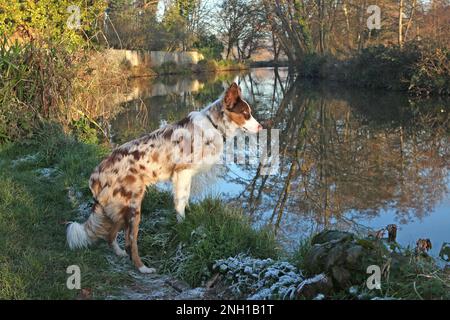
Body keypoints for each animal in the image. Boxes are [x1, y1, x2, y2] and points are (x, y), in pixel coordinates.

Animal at [67, 82, 264, 272]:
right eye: (246, 114)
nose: (261, 127)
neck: (214, 125)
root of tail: (96, 174)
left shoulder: (184, 176)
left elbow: (185, 199)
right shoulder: (183, 172)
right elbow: (181, 202)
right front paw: (183, 223)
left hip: (119, 206)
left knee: (111, 235)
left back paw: (119, 253)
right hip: (133, 206)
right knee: (131, 242)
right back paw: (142, 268)